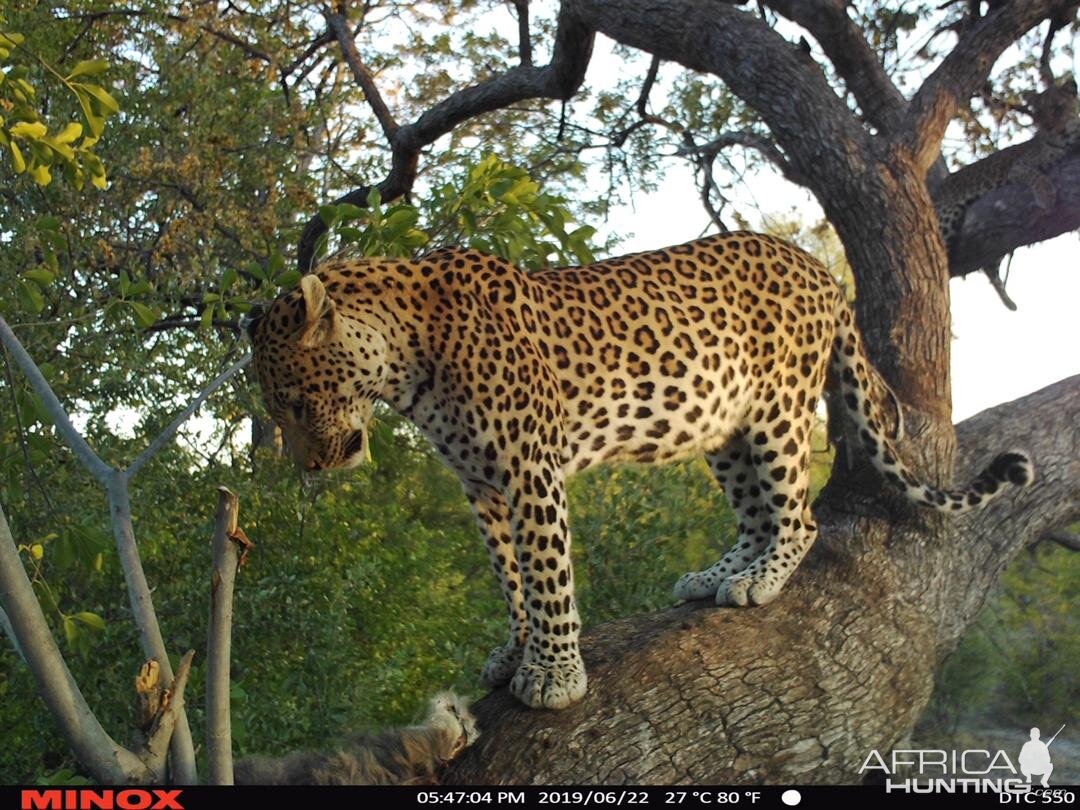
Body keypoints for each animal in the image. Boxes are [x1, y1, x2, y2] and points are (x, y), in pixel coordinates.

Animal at [243, 233, 1028, 708]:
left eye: (294, 401)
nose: (310, 463)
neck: (405, 359)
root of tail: (815, 266)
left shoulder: (529, 470)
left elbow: (547, 574)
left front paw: (555, 673)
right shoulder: (480, 488)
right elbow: (509, 578)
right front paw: (515, 650)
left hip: (776, 408)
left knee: (797, 516)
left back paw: (762, 580)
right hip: (721, 422)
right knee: (753, 512)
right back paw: (719, 575)